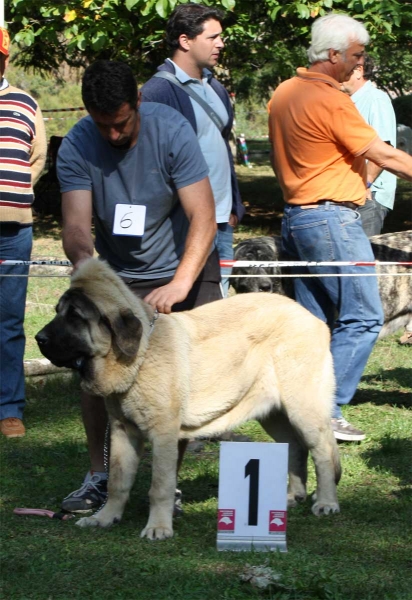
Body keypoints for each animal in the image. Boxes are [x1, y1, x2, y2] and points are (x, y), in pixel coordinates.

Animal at [37, 258, 342, 540]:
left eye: (75, 316)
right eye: (58, 312)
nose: (39, 338)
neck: (140, 354)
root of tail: (311, 317)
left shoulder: (163, 433)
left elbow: (160, 485)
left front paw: (158, 527)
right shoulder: (123, 431)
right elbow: (118, 481)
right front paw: (104, 517)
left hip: (303, 407)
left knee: (323, 451)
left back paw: (327, 501)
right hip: (273, 413)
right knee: (295, 446)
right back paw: (292, 496)